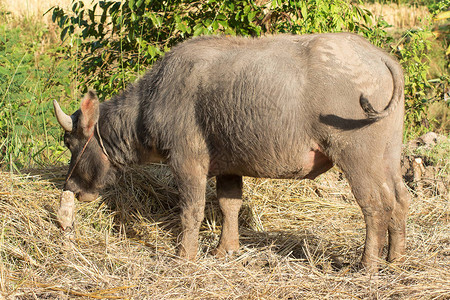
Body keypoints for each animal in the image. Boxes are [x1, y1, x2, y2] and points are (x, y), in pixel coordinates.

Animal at [54, 32, 410, 272]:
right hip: (389, 155)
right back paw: (395, 256)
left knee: (374, 205)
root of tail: (380, 57)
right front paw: (226, 248)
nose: (70, 186)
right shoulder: (228, 165)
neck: (152, 102)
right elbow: (229, 205)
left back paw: (367, 264)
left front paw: (184, 255)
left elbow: (192, 210)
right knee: (400, 198)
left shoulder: (187, 162)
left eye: (70, 142)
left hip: (356, 156)